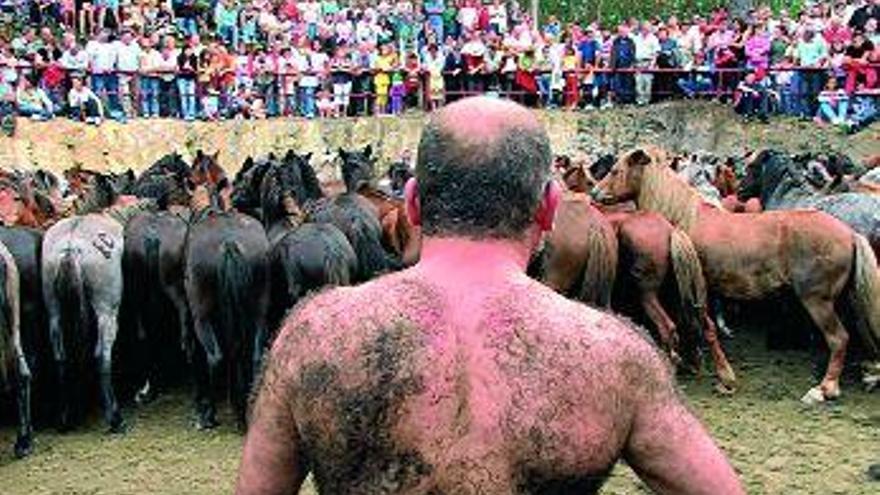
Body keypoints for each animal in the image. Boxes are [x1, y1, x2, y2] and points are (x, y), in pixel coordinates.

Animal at [184, 181, 270, 430]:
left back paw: (208, 416)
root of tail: (229, 243)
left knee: (215, 358)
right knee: (254, 354)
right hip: (258, 310)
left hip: (202, 317)